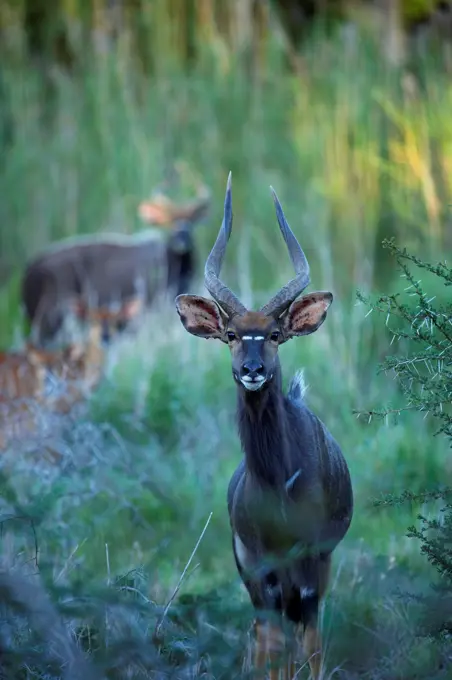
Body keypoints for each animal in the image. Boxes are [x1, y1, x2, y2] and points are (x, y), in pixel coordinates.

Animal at [176, 175, 354, 680]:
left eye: (275, 334)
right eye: (231, 335)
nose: (252, 370)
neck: (281, 485)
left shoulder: (312, 558)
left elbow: (311, 646)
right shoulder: (259, 563)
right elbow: (274, 647)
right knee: (264, 638)